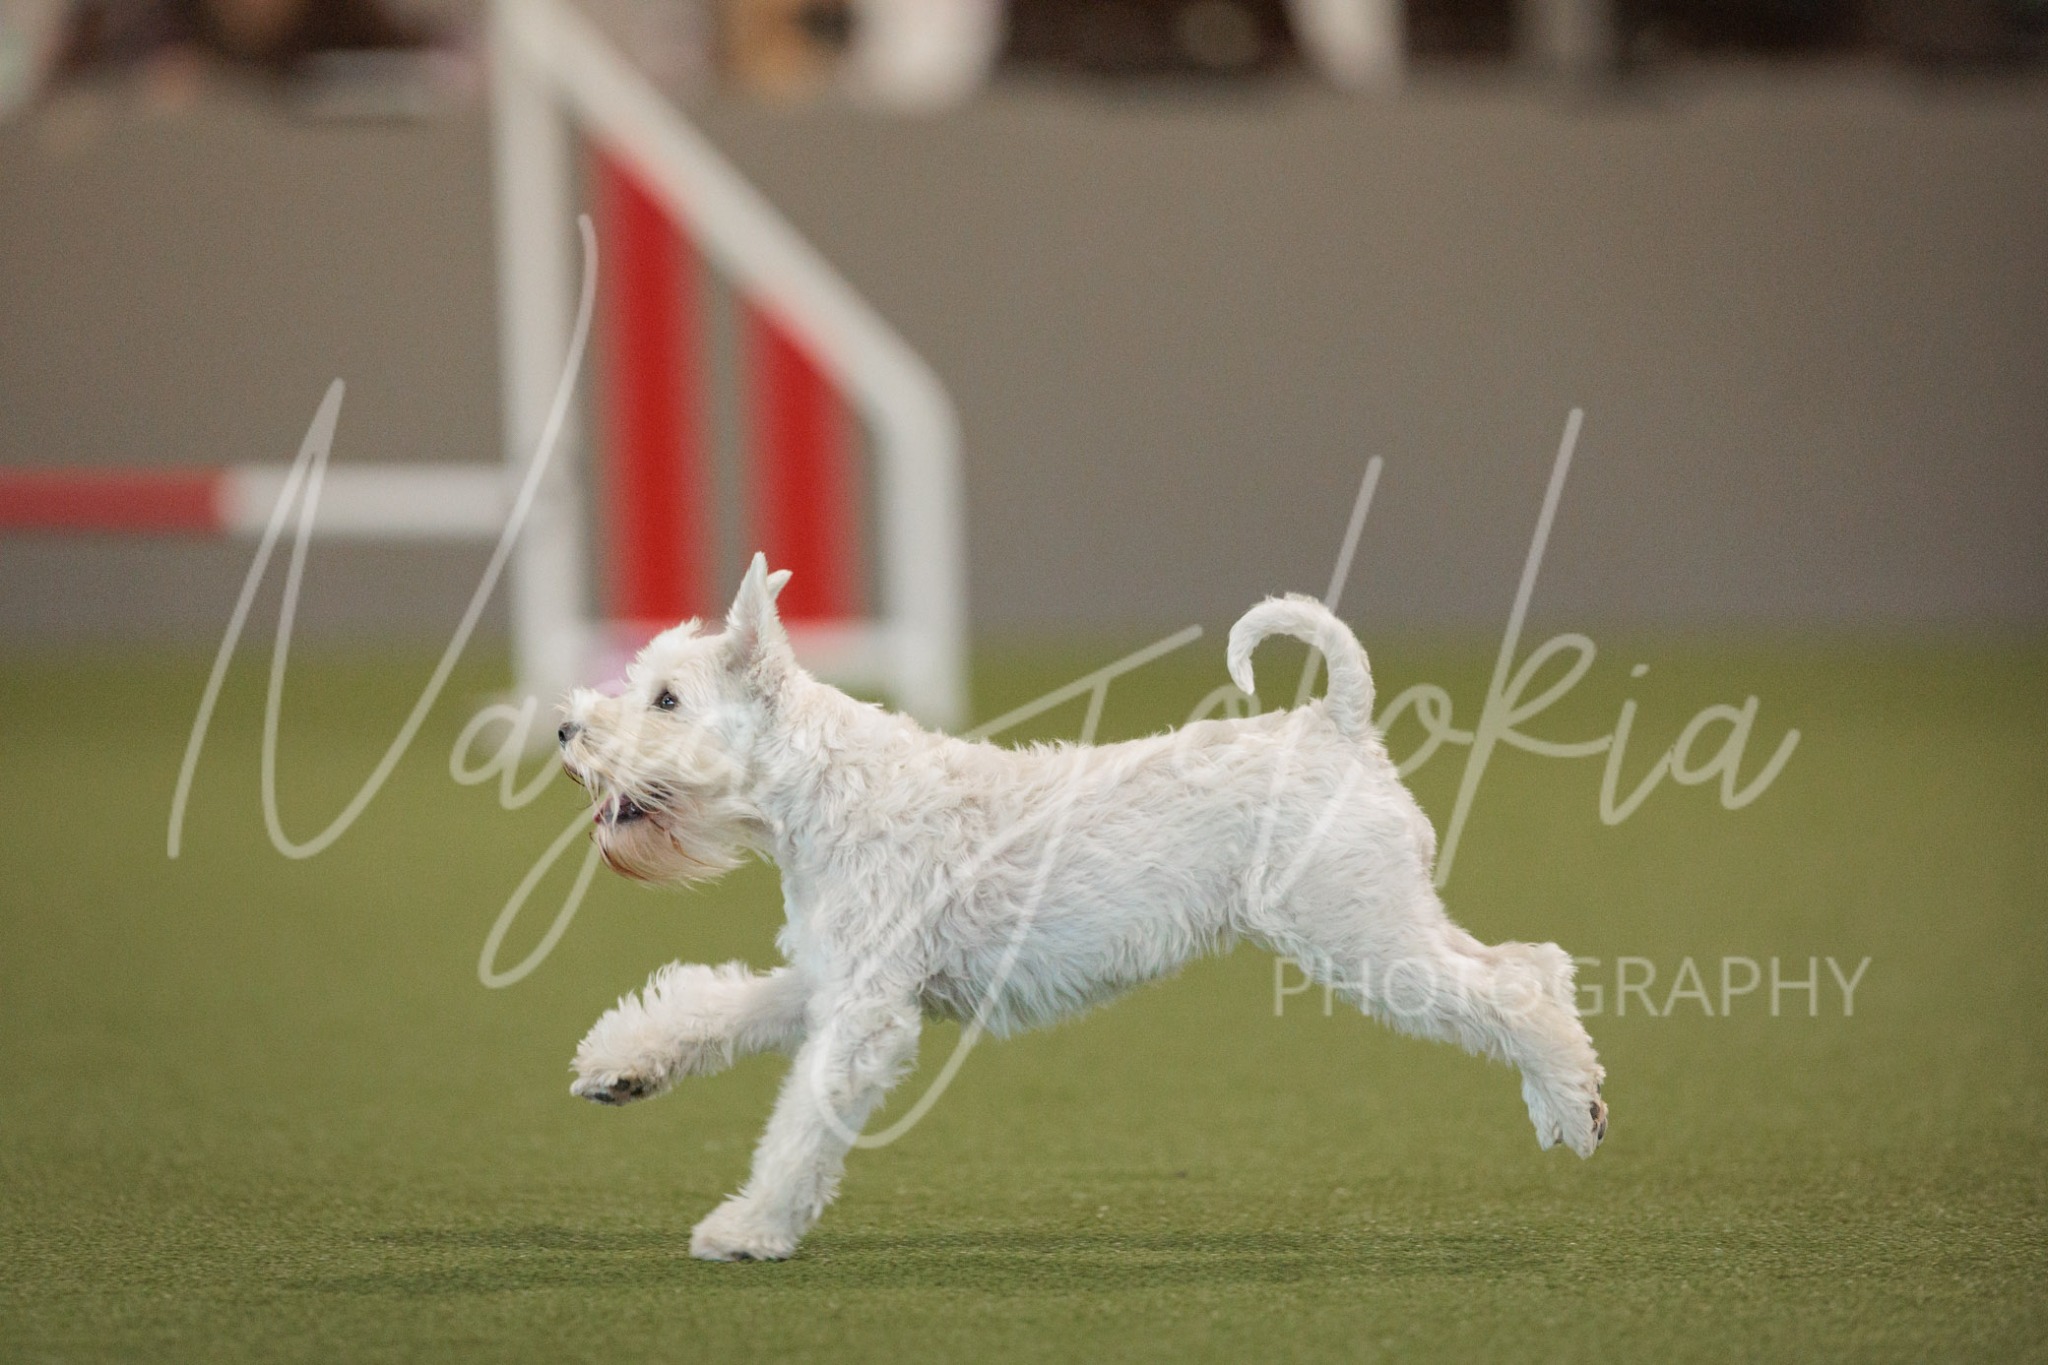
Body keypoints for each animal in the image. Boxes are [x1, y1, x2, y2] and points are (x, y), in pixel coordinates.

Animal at [558, 555, 1607, 1262]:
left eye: (666, 698)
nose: (567, 727)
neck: (828, 790)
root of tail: (1335, 722)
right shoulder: (830, 978)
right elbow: (711, 1008)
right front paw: (622, 1066)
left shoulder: (865, 1016)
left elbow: (801, 1124)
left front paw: (750, 1226)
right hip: (1390, 921)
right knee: (1533, 966)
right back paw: (1570, 1103)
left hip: (1366, 937)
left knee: (1513, 993)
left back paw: (1572, 1105)